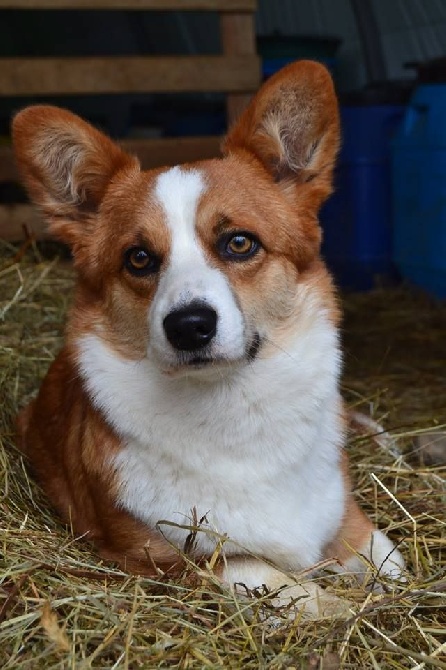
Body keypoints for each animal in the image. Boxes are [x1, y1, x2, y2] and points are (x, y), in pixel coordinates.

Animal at [13, 60, 404, 616]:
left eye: (239, 243)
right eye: (139, 258)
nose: (189, 326)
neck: (232, 409)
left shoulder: (346, 514)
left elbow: (383, 556)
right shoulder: (169, 559)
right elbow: (276, 579)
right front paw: (340, 609)